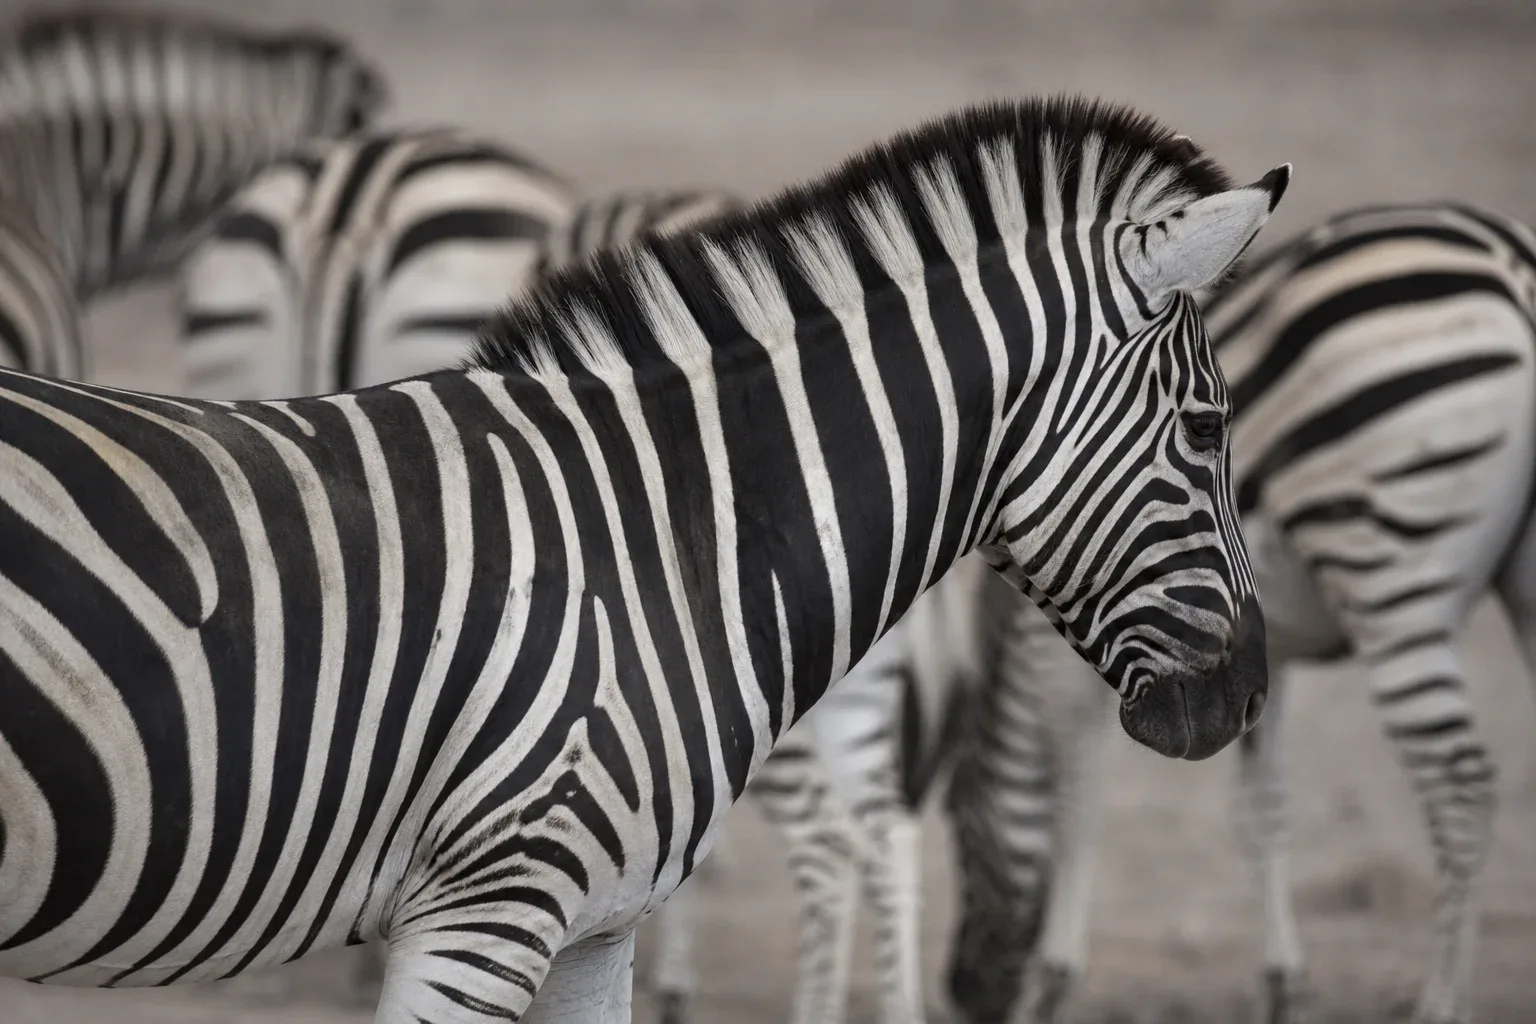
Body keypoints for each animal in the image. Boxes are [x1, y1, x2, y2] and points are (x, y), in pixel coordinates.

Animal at [944, 201, 1536, 1024]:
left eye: (957, 833)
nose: (961, 991)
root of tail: (1509, 262)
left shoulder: (1078, 654)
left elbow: (1079, 795)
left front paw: (1056, 977)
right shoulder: (1258, 654)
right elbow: (1262, 806)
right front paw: (1283, 983)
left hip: (1393, 574)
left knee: (1462, 789)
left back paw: (1441, 1003)